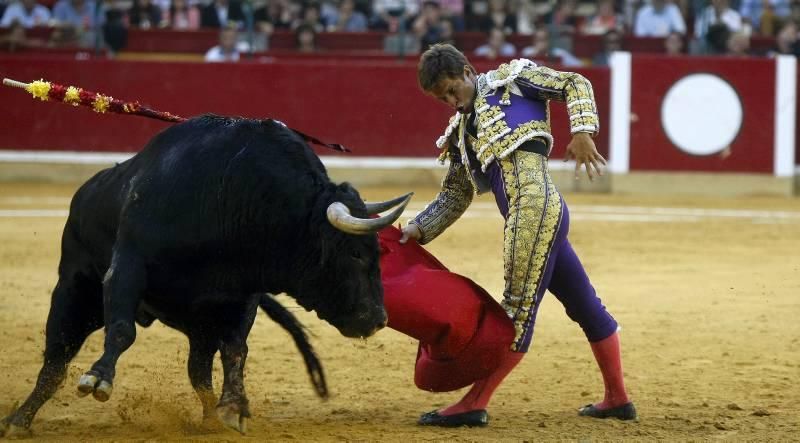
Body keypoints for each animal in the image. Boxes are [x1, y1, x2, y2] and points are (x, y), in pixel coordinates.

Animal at [0, 115, 412, 438]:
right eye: (355, 253)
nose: (379, 319)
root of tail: (84, 194)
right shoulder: (128, 265)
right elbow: (120, 330)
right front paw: (99, 378)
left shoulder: (241, 296)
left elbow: (235, 350)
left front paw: (233, 407)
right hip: (74, 290)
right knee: (56, 359)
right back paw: (19, 420)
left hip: (197, 325)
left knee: (198, 370)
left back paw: (210, 418)